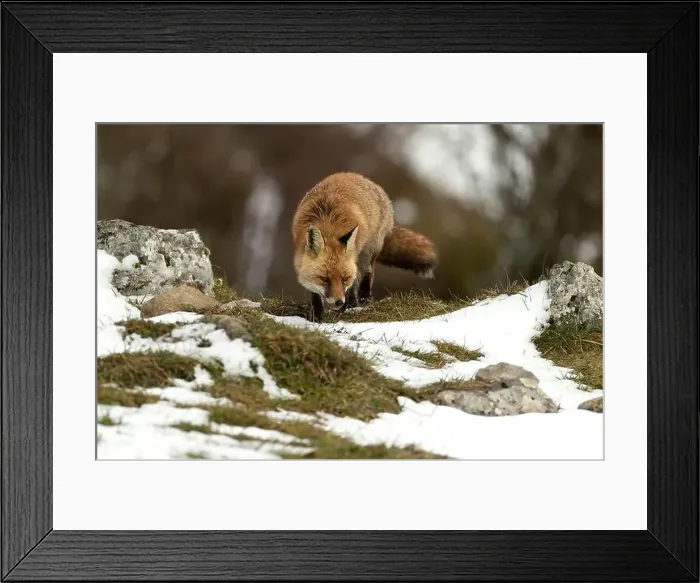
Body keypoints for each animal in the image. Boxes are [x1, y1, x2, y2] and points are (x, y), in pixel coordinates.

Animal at [292, 172, 438, 323]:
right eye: (324, 279)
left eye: (344, 279)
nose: (339, 302)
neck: (328, 225)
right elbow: (316, 295)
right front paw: (316, 317)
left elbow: (352, 283)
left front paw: (344, 308)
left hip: (368, 251)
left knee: (367, 271)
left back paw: (362, 297)